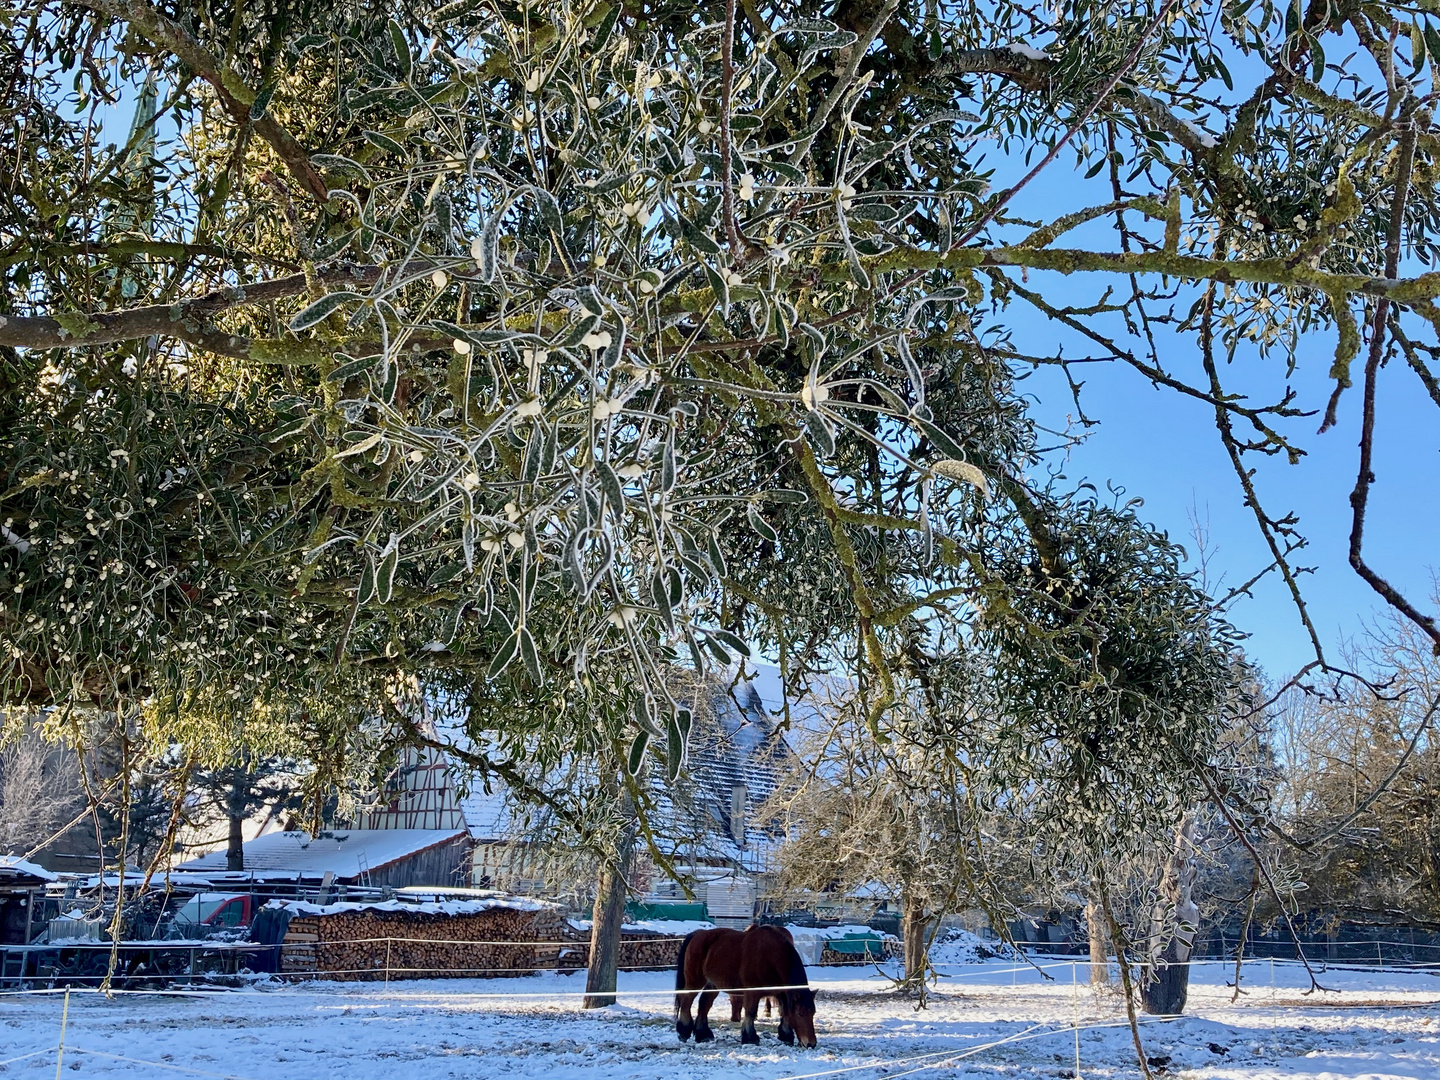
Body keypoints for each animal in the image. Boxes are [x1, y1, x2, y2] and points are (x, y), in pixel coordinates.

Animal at [671, 927, 817, 1054]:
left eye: (813, 1013)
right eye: (800, 1013)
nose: (811, 1044)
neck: (771, 956)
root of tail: (698, 934)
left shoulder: (780, 993)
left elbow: (785, 1012)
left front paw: (786, 1036)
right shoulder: (752, 992)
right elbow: (750, 1013)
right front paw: (750, 1038)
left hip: (712, 985)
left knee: (704, 1005)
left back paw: (703, 1035)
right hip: (694, 982)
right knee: (686, 1002)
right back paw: (683, 1031)